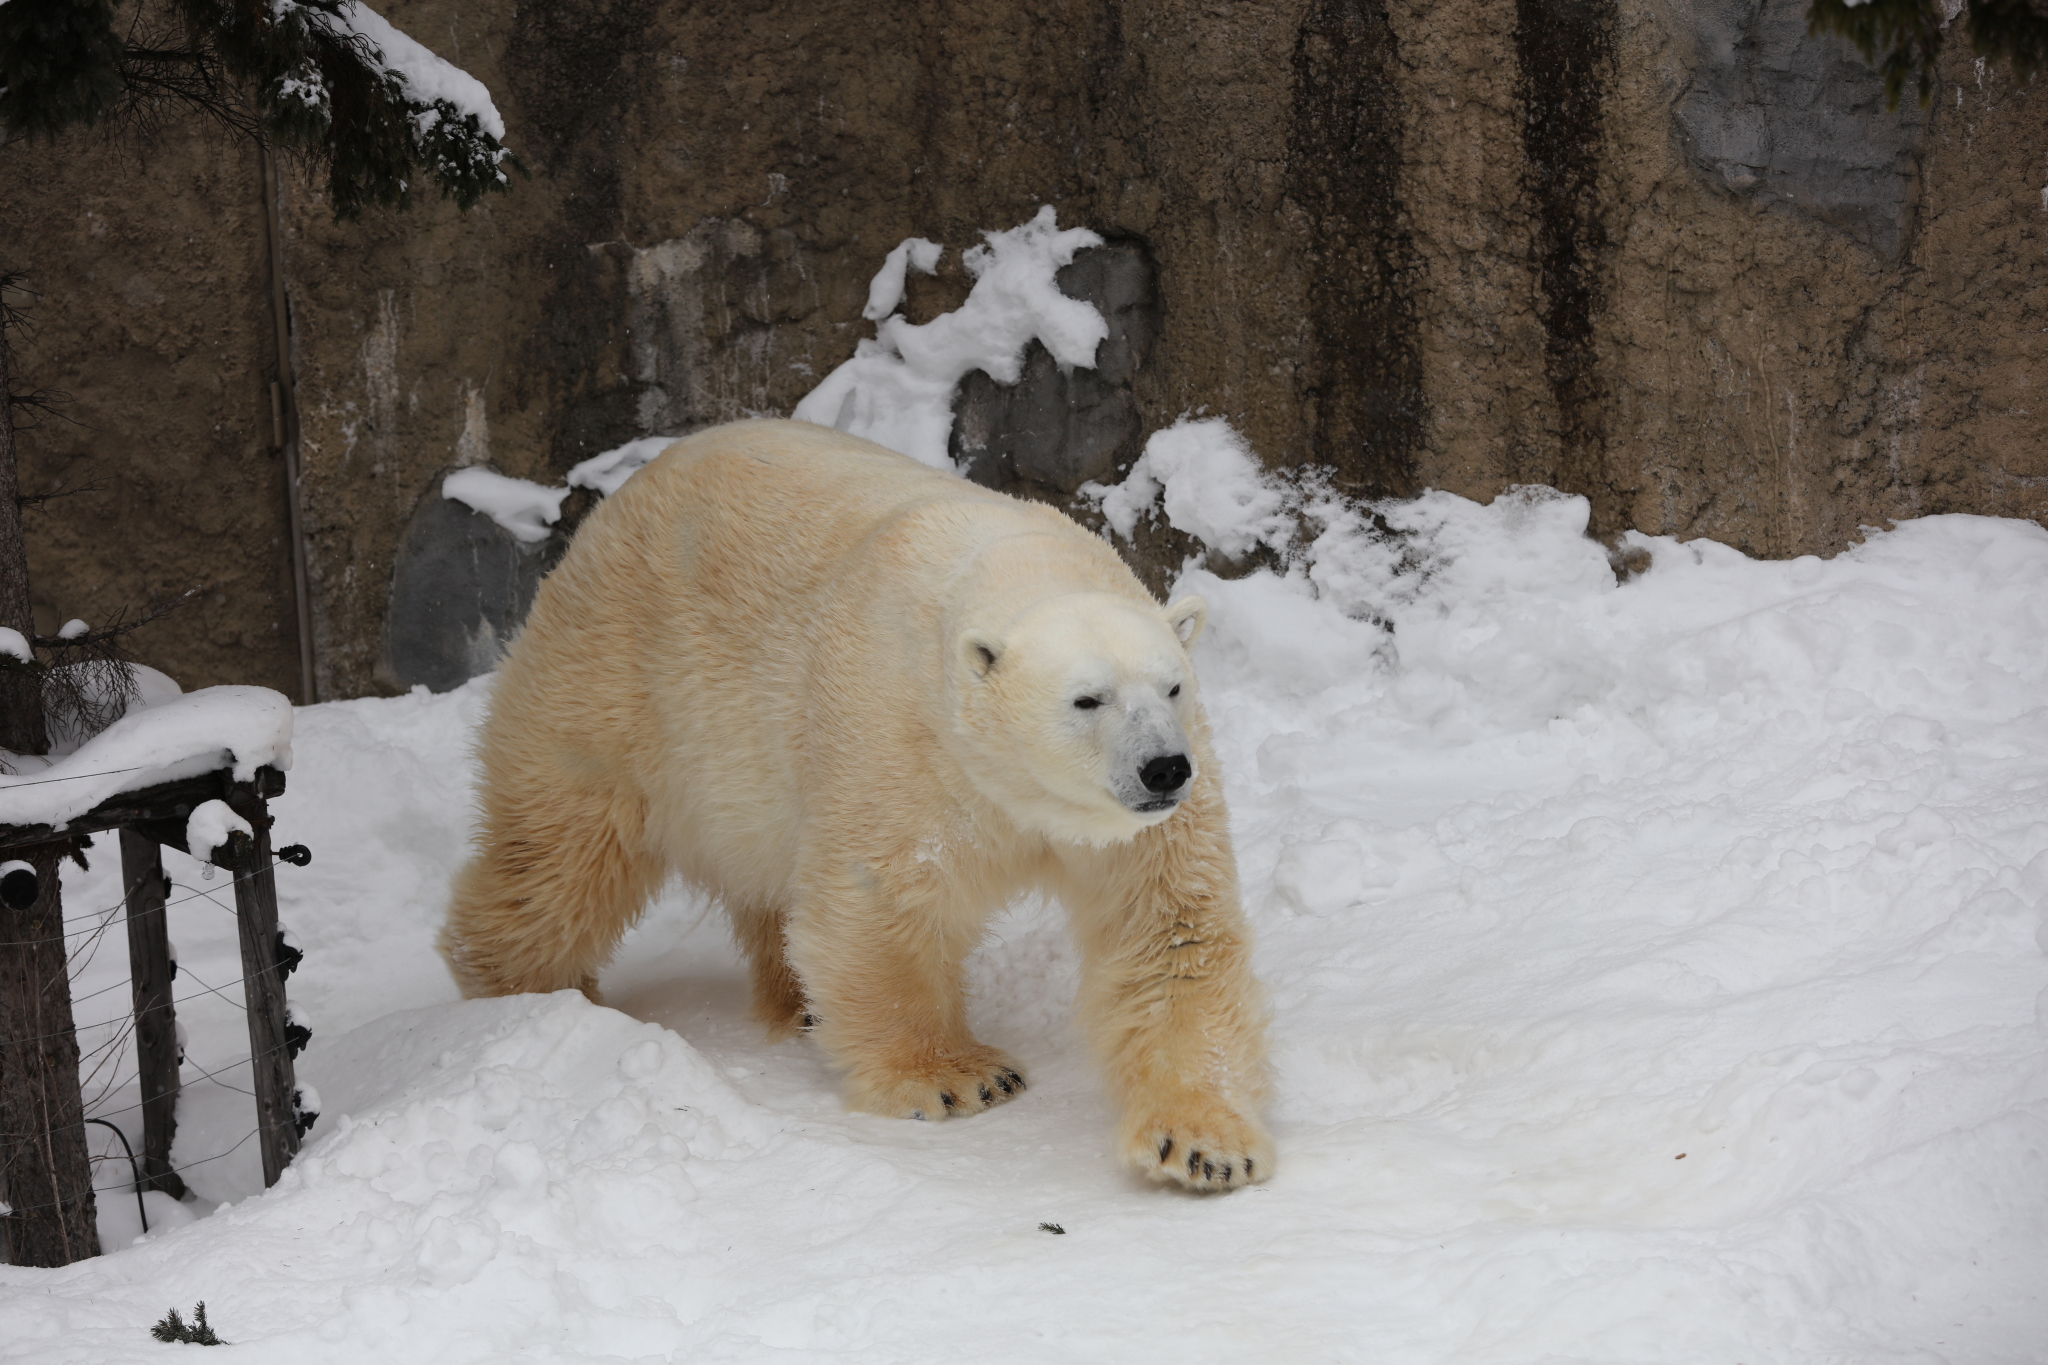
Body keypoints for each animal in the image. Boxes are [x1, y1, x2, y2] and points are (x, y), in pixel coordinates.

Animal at [442, 421, 1269, 1186]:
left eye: (1172, 685)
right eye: (1086, 698)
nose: (1163, 768)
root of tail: (611, 511)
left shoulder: (1145, 827)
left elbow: (1170, 932)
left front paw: (1205, 1144)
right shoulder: (899, 738)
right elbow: (882, 901)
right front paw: (957, 1077)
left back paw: (796, 1003)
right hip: (619, 682)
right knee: (563, 853)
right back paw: (524, 989)